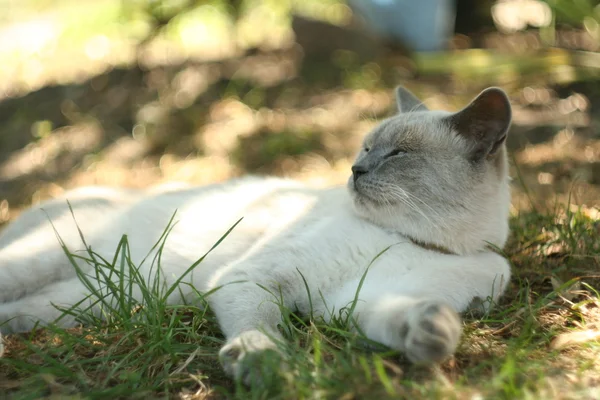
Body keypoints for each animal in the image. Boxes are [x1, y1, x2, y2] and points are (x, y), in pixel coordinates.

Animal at [1, 86, 516, 382]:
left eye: (397, 154)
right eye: (366, 148)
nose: (354, 170)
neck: (412, 240)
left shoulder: (359, 302)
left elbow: (401, 315)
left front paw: (433, 335)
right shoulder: (256, 278)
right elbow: (260, 327)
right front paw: (264, 363)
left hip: (88, 302)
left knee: (24, 312)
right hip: (50, 261)